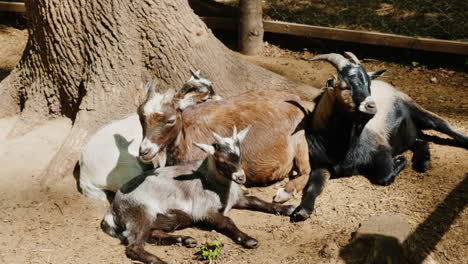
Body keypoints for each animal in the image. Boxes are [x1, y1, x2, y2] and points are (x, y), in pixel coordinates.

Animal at [100, 126, 294, 264]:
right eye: (221, 159)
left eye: (240, 155)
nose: (241, 177)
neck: (213, 182)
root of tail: (113, 209)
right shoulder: (204, 210)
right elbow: (227, 221)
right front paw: (248, 240)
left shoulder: (238, 198)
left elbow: (257, 201)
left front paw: (287, 209)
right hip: (140, 212)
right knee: (134, 246)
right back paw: (161, 260)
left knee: (153, 233)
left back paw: (185, 240)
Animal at [136, 83, 318, 203]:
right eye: (140, 116)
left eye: (170, 120)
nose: (144, 150)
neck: (186, 136)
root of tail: (296, 99)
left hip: (300, 139)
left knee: (306, 170)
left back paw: (284, 192)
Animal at [290, 52, 466, 222]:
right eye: (345, 86)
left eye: (368, 85)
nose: (371, 106)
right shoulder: (321, 166)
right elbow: (313, 187)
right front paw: (302, 211)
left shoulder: (382, 150)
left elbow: (384, 177)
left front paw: (401, 160)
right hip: (406, 135)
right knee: (420, 141)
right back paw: (423, 163)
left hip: (415, 109)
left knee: (441, 124)